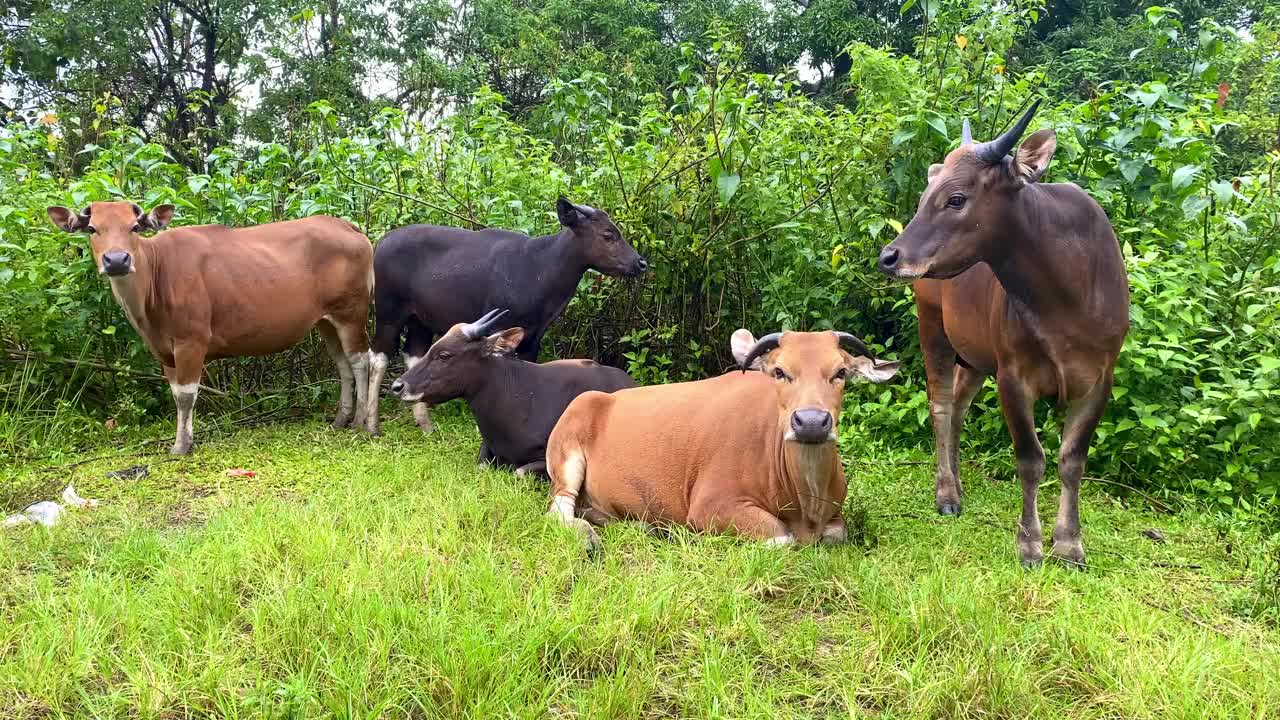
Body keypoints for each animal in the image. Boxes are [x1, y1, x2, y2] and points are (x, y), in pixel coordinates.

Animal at [46, 198, 373, 450]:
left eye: (134, 227)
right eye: (92, 228)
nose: (116, 260)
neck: (155, 277)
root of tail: (348, 226)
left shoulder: (191, 341)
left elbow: (186, 395)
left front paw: (181, 446)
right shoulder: (165, 351)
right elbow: (176, 393)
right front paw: (185, 439)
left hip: (351, 313)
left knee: (361, 361)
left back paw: (360, 421)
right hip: (326, 321)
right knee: (343, 364)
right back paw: (341, 419)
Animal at [368, 196, 650, 430]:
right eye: (608, 235)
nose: (641, 262)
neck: (540, 268)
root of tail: (379, 243)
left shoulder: (533, 335)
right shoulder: (498, 326)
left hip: (420, 319)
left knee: (413, 353)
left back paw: (425, 424)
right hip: (388, 312)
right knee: (378, 355)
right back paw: (371, 425)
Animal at [547, 327, 901, 545]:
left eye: (841, 372)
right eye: (780, 372)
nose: (811, 422)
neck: (804, 500)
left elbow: (838, 533)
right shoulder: (710, 506)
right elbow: (781, 537)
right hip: (565, 453)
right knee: (558, 510)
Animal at [880, 99, 1131, 566]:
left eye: (956, 198)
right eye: (923, 199)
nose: (890, 256)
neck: (1065, 297)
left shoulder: (1099, 379)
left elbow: (1072, 460)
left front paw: (1069, 544)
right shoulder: (1013, 376)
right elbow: (1030, 459)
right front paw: (1029, 543)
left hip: (976, 356)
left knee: (960, 405)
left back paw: (958, 483)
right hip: (932, 327)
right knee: (942, 405)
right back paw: (946, 494)